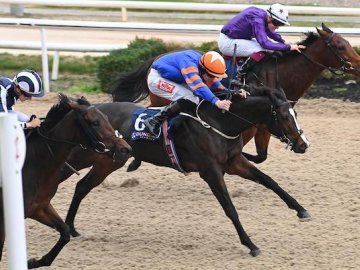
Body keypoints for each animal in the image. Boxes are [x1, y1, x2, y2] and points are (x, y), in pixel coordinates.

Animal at [0, 94, 132, 268]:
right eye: (95, 122)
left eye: (106, 118)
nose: (126, 149)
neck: (35, 163)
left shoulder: (39, 207)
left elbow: (65, 232)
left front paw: (34, 261)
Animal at [61, 85, 310, 256]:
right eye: (285, 116)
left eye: (296, 114)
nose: (302, 144)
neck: (219, 123)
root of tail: (91, 110)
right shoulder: (210, 171)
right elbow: (230, 208)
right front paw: (250, 244)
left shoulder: (234, 162)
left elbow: (269, 181)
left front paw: (300, 210)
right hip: (88, 157)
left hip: (110, 162)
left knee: (81, 186)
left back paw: (71, 228)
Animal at [109, 22, 360, 162]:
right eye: (340, 46)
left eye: (348, 42)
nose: (359, 65)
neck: (278, 74)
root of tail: (156, 60)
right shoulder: (245, 124)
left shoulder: (265, 124)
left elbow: (260, 157)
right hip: (163, 93)